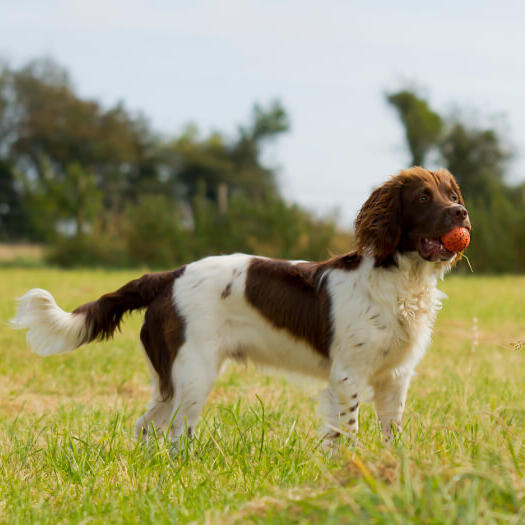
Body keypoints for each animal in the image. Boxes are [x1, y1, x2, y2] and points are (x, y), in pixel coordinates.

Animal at [12, 167, 470, 442]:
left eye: (451, 193)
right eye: (423, 198)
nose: (461, 213)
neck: (399, 278)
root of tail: (168, 276)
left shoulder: (395, 378)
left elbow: (392, 435)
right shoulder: (348, 376)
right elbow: (346, 434)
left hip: (172, 380)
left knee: (147, 428)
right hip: (193, 376)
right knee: (176, 435)